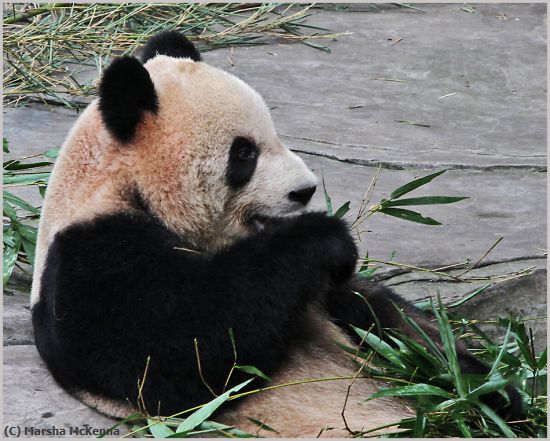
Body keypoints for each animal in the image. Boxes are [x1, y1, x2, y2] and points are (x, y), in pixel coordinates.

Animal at [31, 31, 520, 436]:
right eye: (243, 154)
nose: (304, 190)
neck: (121, 183)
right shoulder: (89, 258)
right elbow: (182, 346)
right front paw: (328, 238)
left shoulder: (329, 298)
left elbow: (390, 321)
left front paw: (484, 384)